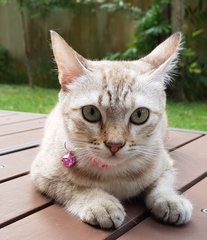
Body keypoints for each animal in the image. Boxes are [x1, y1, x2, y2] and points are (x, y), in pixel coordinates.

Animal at [30, 30, 192, 229]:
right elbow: (75, 188)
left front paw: (171, 200)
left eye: (140, 115)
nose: (115, 144)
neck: (114, 174)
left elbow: (163, 183)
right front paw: (101, 203)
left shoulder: (165, 164)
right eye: (91, 112)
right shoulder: (42, 174)